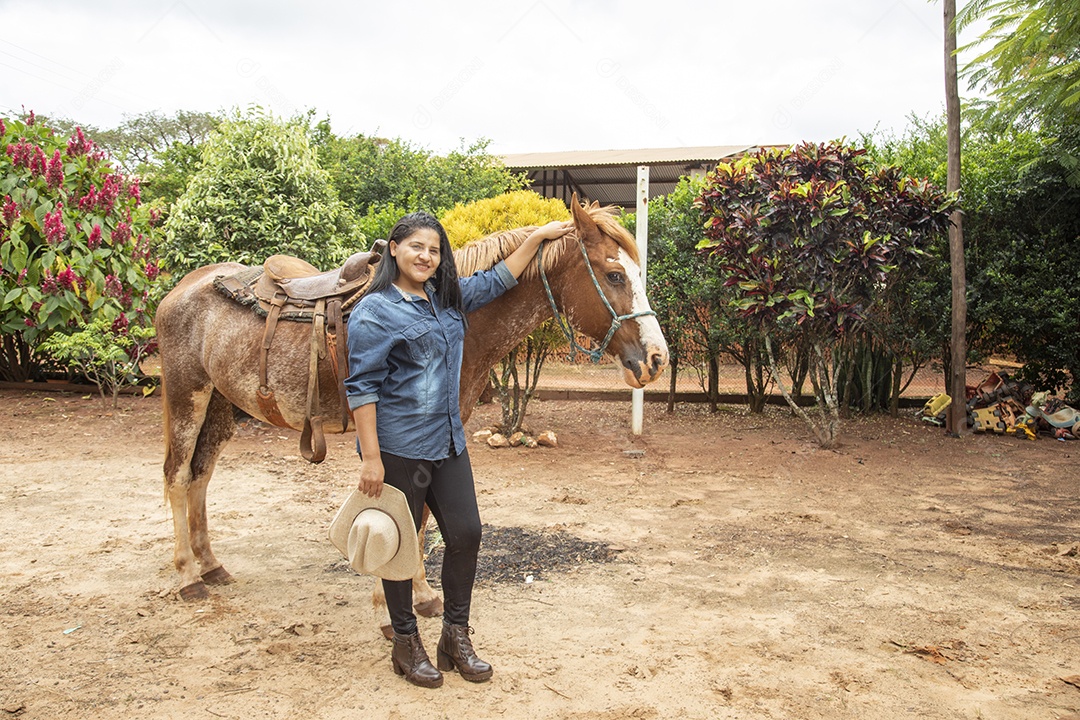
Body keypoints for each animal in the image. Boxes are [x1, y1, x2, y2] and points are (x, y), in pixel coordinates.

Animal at [155, 195, 669, 634]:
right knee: (178, 476)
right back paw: (188, 577)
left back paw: (211, 566)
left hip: (220, 404)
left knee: (201, 475)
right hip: (186, 395)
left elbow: (421, 520)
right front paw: (389, 607)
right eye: (614, 275)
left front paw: (422, 595)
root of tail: (181, 289)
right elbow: (406, 514)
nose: (658, 359)